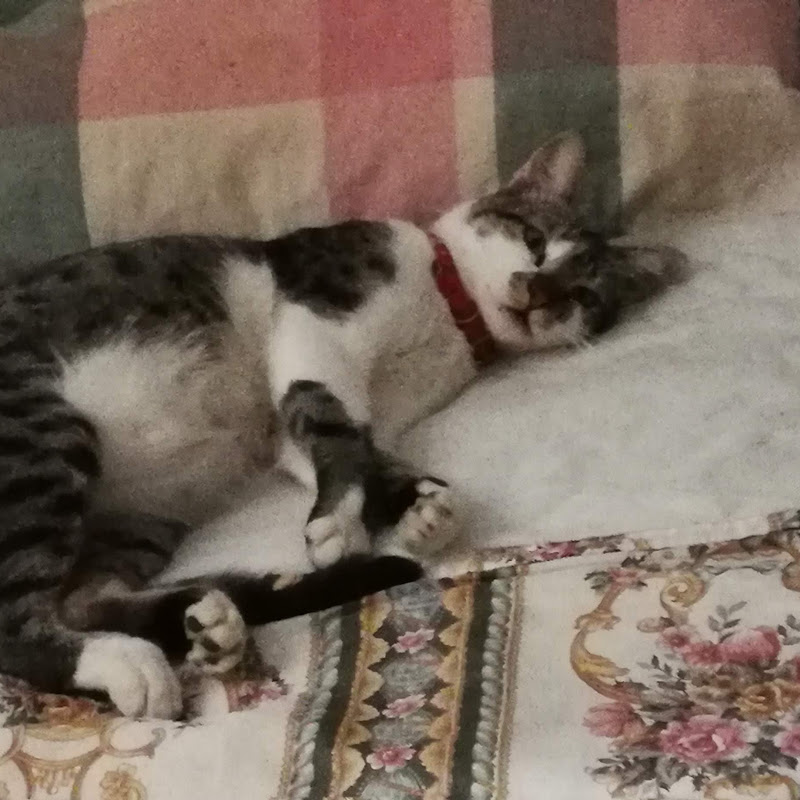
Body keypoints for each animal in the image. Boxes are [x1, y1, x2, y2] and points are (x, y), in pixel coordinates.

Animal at [0, 132, 682, 719]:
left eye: (584, 297)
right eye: (534, 239)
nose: (537, 292)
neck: (448, 315)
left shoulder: (338, 416)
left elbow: (350, 443)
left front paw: (422, 508)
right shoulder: (317, 318)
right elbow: (337, 431)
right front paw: (342, 522)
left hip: (144, 516)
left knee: (83, 599)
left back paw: (209, 620)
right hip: (43, 431)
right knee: (17, 625)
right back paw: (127, 662)